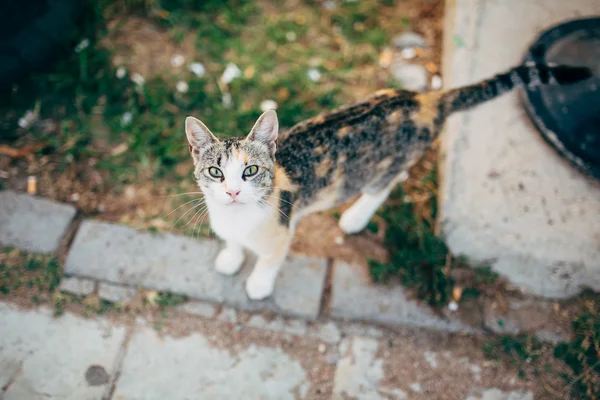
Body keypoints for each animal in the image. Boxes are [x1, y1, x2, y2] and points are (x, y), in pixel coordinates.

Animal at [184, 63, 592, 300]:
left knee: (385, 184)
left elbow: (268, 261)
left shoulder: (281, 232)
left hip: (384, 167)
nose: (232, 191)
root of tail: (427, 99)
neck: (236, 216)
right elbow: (234, 243)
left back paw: (356, 217)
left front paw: (258, 284)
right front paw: (231, 257)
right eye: (216, 172)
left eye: (250, 171)